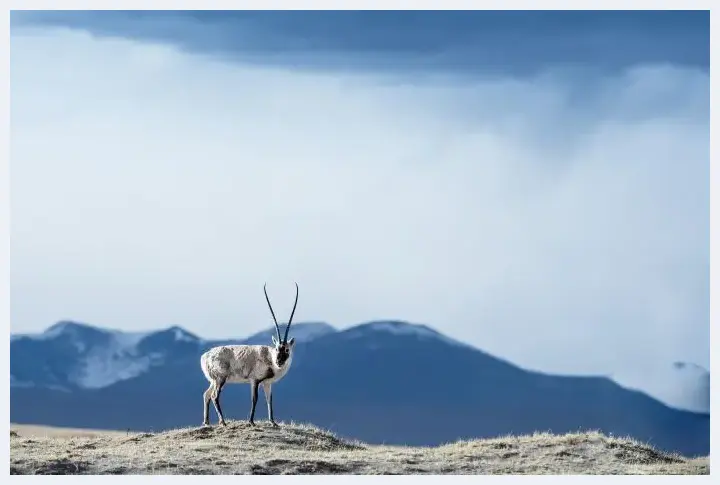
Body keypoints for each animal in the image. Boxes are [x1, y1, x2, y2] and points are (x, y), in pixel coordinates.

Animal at [200, 282, 298, 426]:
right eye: (276, 348)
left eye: (286, 349)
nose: (279, 361)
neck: (269, 357)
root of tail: (205, 356)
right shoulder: (254, 380)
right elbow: (254, 399)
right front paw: (251, 421)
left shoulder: (267, 383)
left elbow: (269, 399)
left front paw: (273, 422)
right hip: (220, 379)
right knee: (214, 396)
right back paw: (223, 422)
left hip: (213, 380)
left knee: (206, 394)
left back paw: (206, 422)